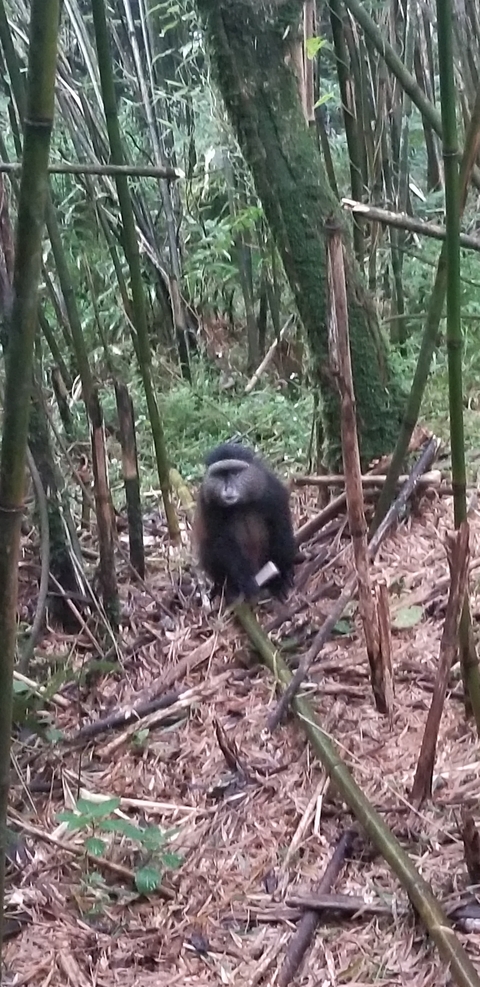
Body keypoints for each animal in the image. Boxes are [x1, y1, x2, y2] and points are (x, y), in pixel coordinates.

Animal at [193, 442, 296, 604]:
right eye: (220, 475)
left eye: (235, 473)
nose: (228, 488)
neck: (240, 504)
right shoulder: (207, 504)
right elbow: (221, 541)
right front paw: (246, 581)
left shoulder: (272, 490)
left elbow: (280, 525)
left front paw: (281, 578)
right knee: (208, 546)